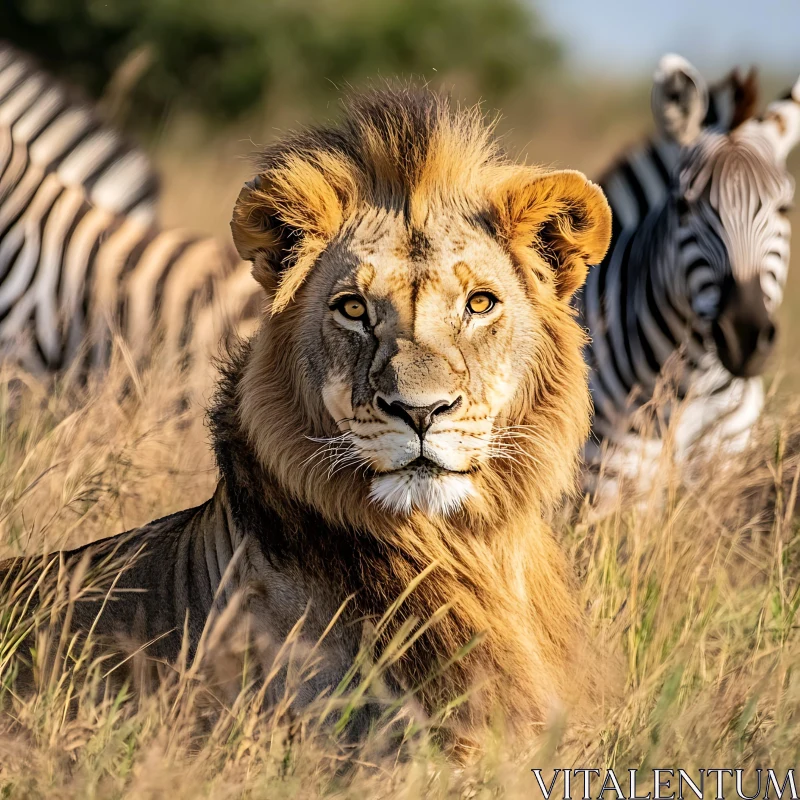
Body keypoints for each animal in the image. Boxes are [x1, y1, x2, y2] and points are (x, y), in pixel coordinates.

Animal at [580, 54, 800, 506]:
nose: (744, 336)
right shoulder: (608, 487)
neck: (691, 386)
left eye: (784, 209)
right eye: (683, 206)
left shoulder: (723, 476)